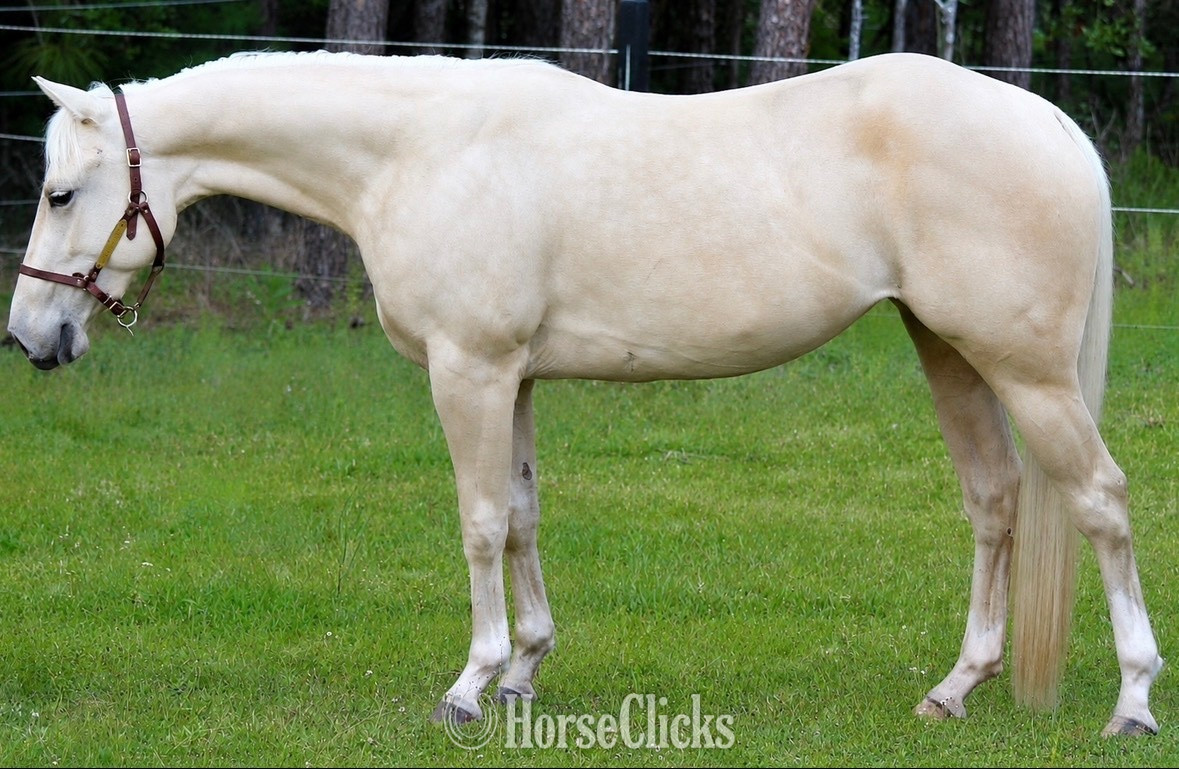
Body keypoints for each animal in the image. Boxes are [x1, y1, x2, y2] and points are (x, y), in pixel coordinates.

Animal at [6, 50, 1162, 737]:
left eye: (61, 192)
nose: (29, 337)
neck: (416, 150)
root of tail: (1051, 123)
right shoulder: (511, 375)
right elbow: (521, 515)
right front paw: (524, 670)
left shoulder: (469, 369)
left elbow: (477, 521)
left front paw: (469, 686)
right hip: (949, 352)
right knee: (995, 501)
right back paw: (956, 686)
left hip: (1025, 370)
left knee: (1101, 502)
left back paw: (1134, 700)